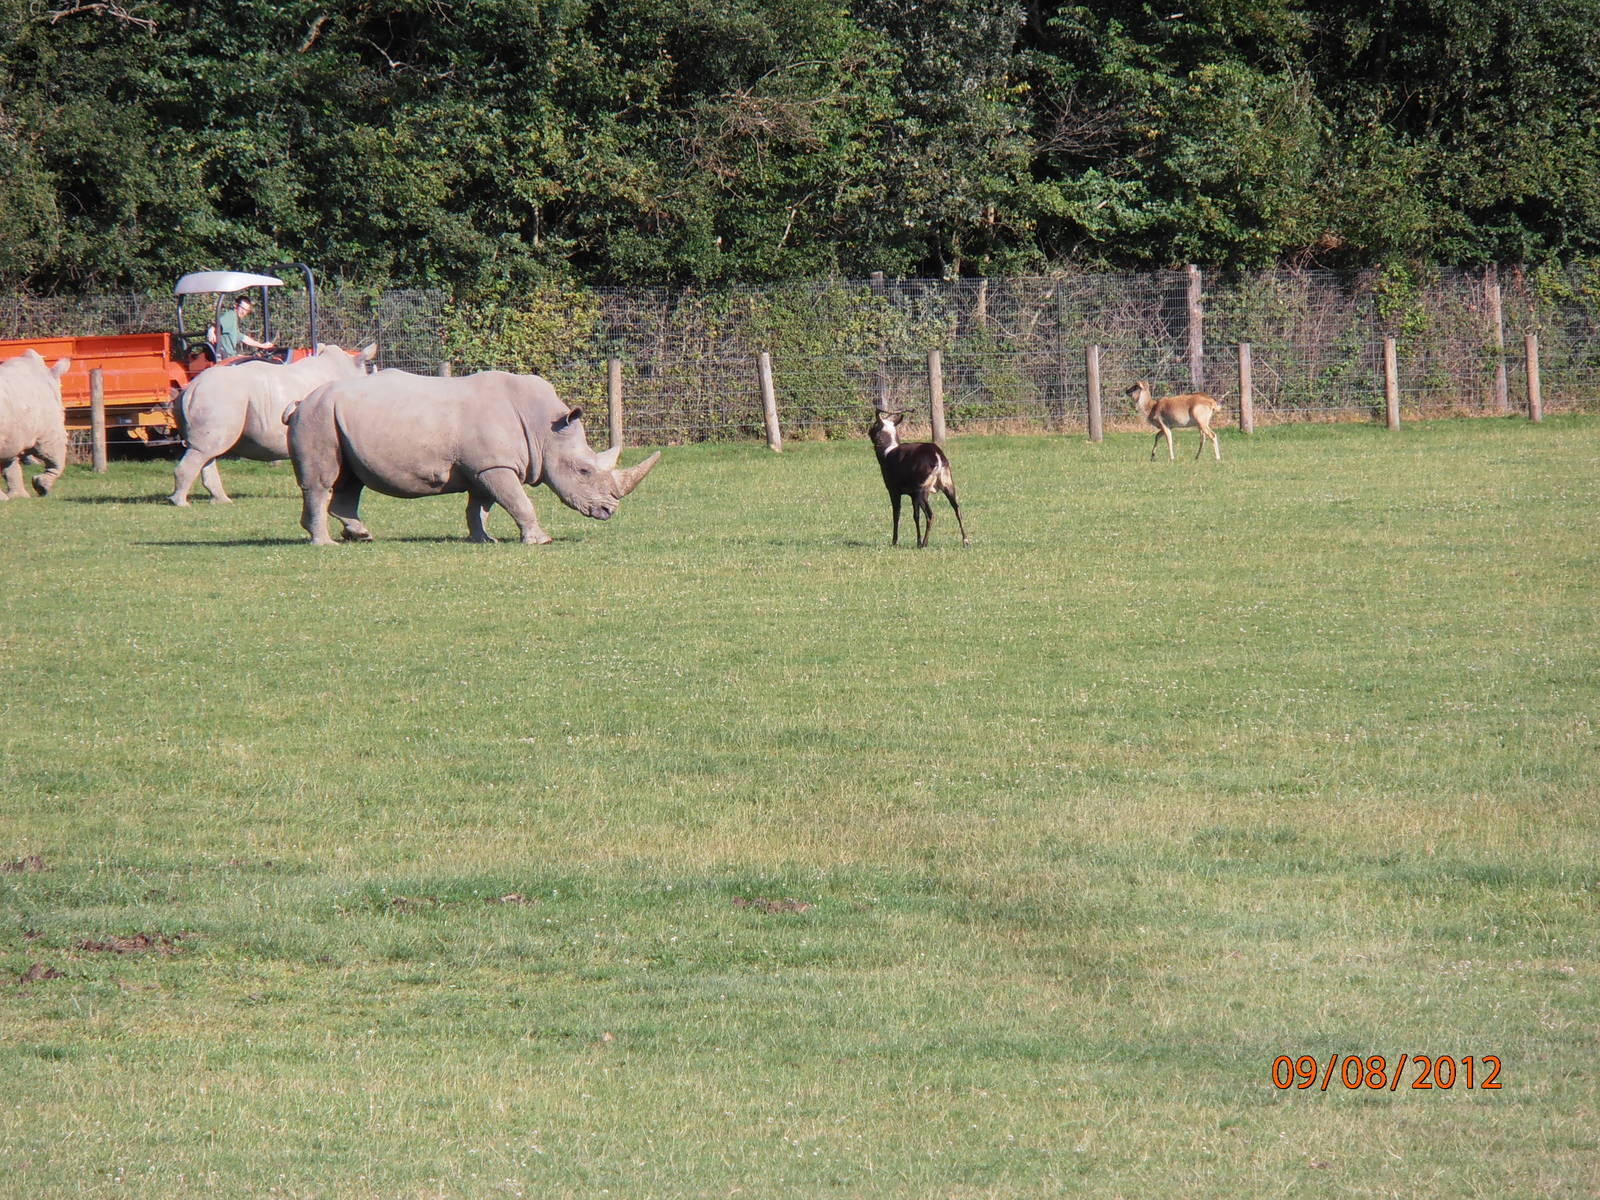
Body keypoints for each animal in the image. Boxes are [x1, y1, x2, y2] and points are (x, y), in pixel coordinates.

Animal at [0, 350, 71, 499]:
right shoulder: (50, 434)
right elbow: (57, 460)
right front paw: (42, 488)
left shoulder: (12, 435)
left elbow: (10, 464)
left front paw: (20, 497)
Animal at [169, 342, 378, 505]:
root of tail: (191, 387)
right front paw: (327, 497)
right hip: (218, 398)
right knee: (205, 450)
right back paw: (181, 503)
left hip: (212, 398)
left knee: (206, 450)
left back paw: (221, 501)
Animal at [285, 369, 661, 545]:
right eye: (583, 471)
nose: (609, 511)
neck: (545, 429)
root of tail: (300, 403)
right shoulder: (495, 465)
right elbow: (519, 502)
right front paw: (540, 540)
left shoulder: (486, 466)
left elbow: (480, 506)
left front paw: (484, 540)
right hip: (319, 417)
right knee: (324, 480)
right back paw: (326, 544)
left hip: (335, 418)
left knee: (350, 479)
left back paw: (360, 536)